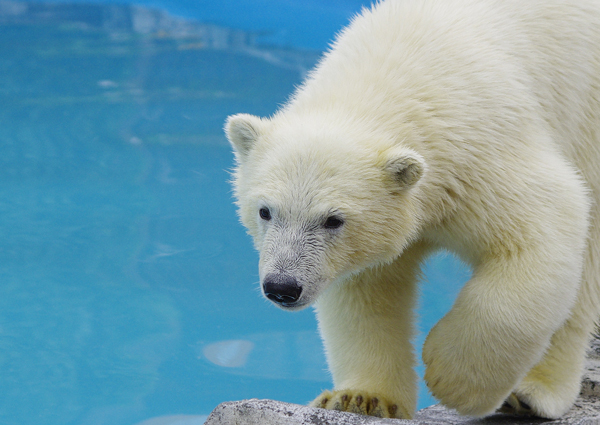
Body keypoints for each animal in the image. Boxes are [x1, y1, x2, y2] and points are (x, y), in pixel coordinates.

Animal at [224, 0, 600, 420]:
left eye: (333, 220)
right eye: (265, 211)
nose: (282, 287)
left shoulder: (480, 155)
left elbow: (546, 228)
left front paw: (455, 378)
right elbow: (368, 290)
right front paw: (362, 397)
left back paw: (534, 391)